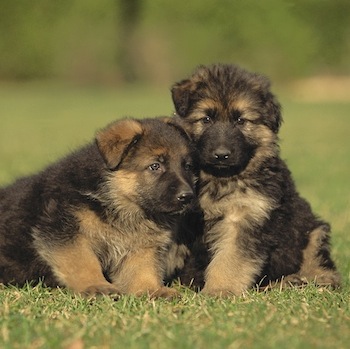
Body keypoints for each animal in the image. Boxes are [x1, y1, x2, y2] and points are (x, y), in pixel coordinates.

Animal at [0, 117, 197, 296]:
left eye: (187, 166)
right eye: (155, 166)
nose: (187, 197)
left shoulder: (141, 246)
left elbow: (143, 269)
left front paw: (152, 289)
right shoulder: (64, 231)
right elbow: (83, 261)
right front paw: (96, 286)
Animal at [171, 64, 340, 294]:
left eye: (241, 120)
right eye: (206, 119)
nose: (221, 155)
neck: (220, 179)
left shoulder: (243, 218)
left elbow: (229, 260)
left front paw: (219, 290)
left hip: (313, 231)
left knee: (318, 261)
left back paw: (311, 280)